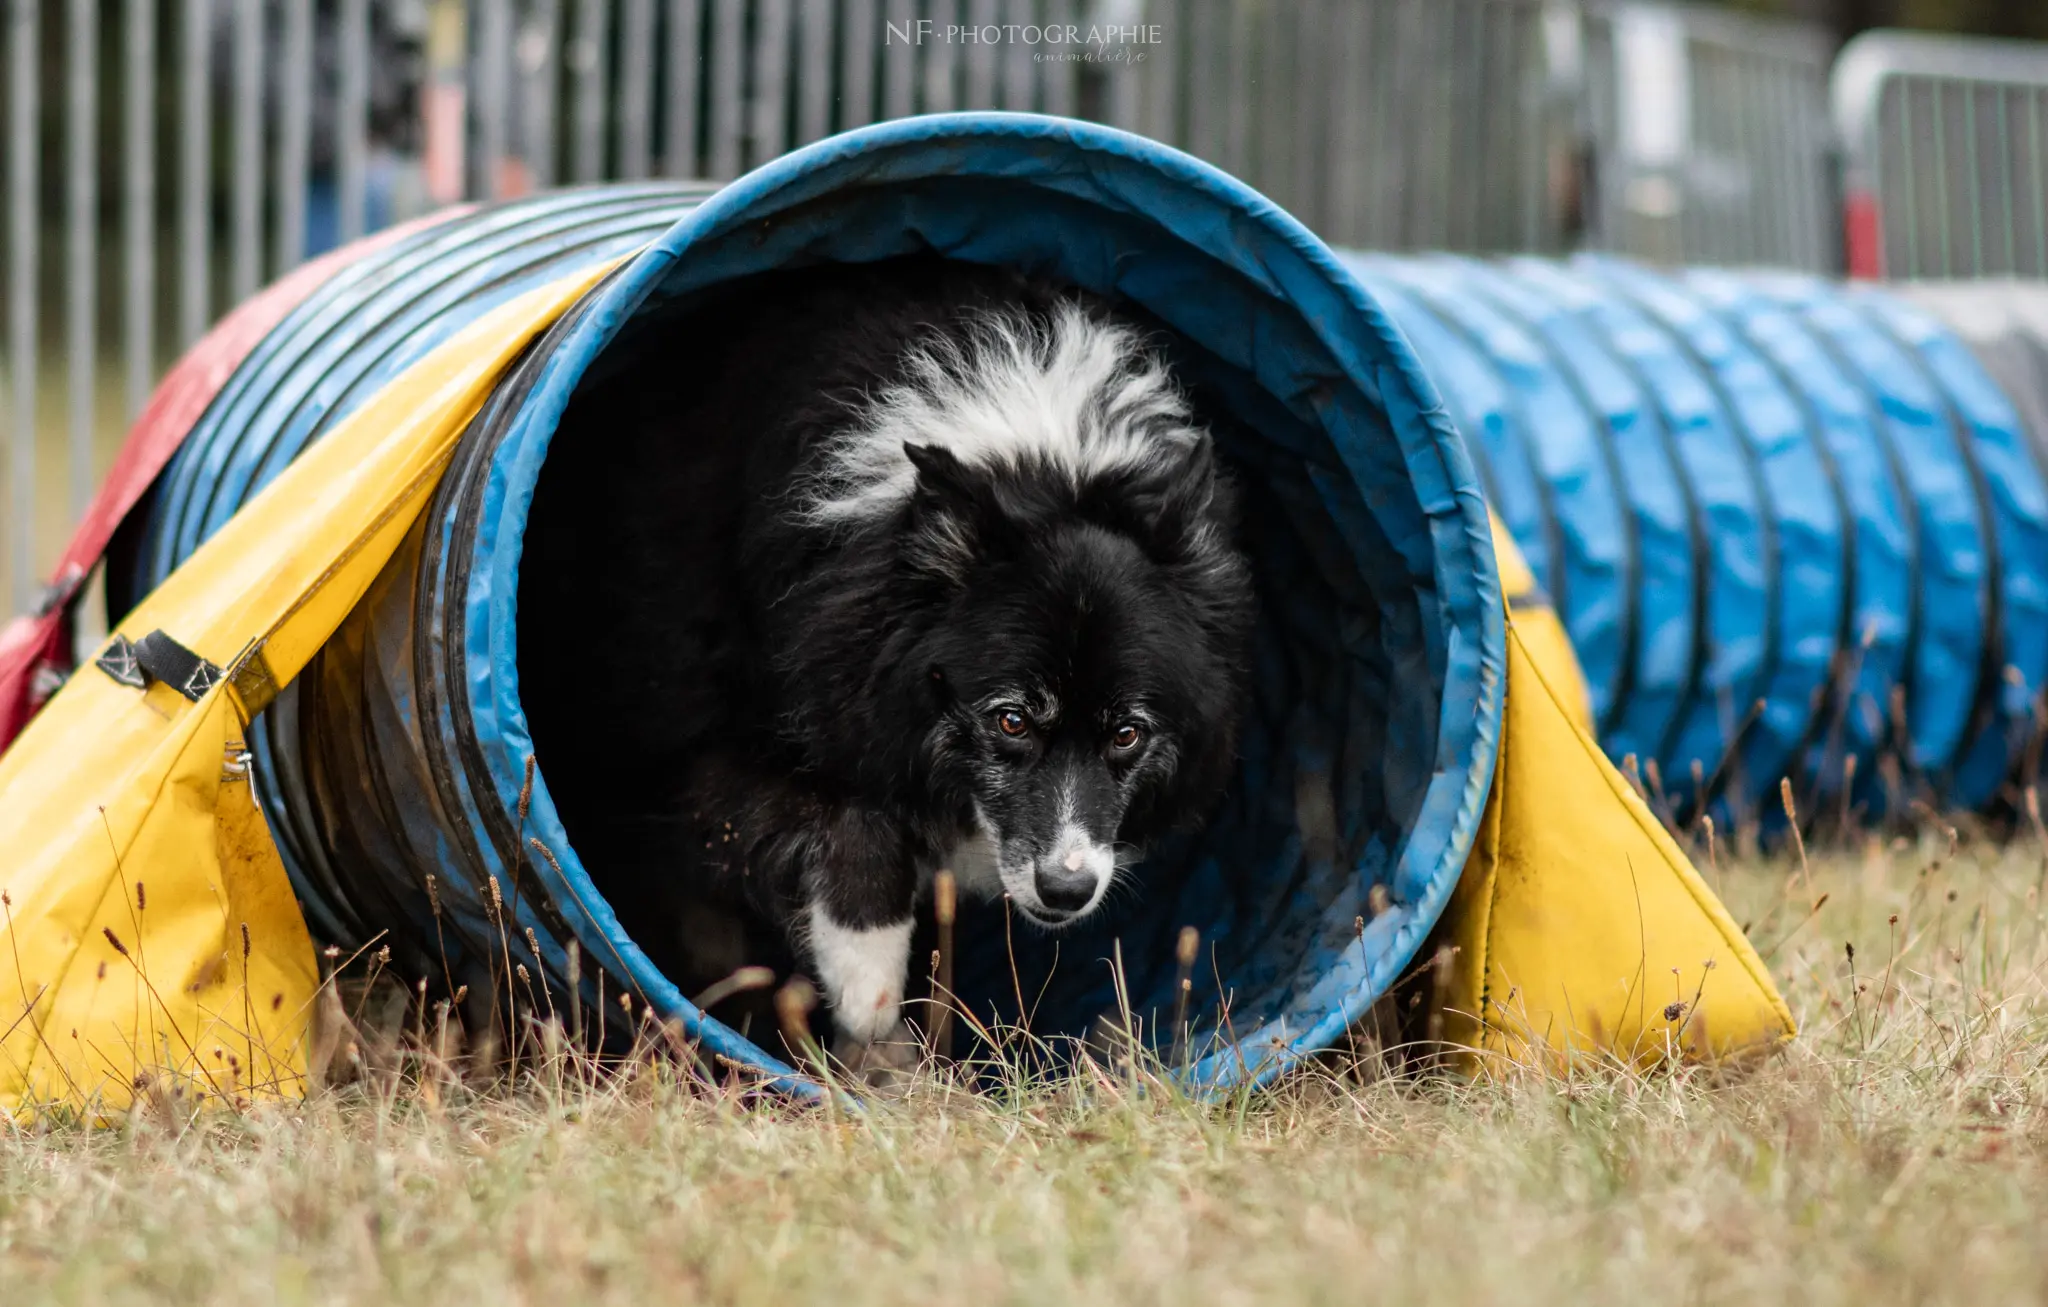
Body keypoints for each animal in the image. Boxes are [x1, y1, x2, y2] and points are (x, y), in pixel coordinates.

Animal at [520, 256, 1253, 1073]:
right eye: (1011, 720)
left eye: (1127, 734)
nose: (1068, 891)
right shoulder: (704, 747)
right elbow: (843, 813)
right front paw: (867, 978)